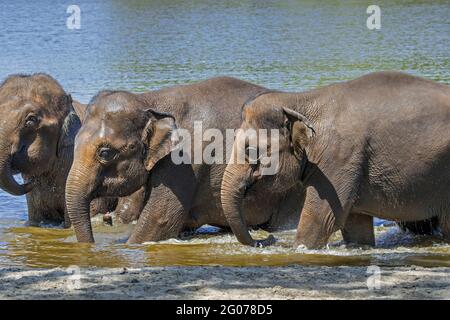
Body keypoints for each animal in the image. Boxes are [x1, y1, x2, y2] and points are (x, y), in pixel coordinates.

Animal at [221, 71, 450, 249]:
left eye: (251, 150)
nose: (268, 239)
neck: (301, 99)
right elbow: (355, 224)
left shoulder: (338, 158)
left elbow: (322, 219)